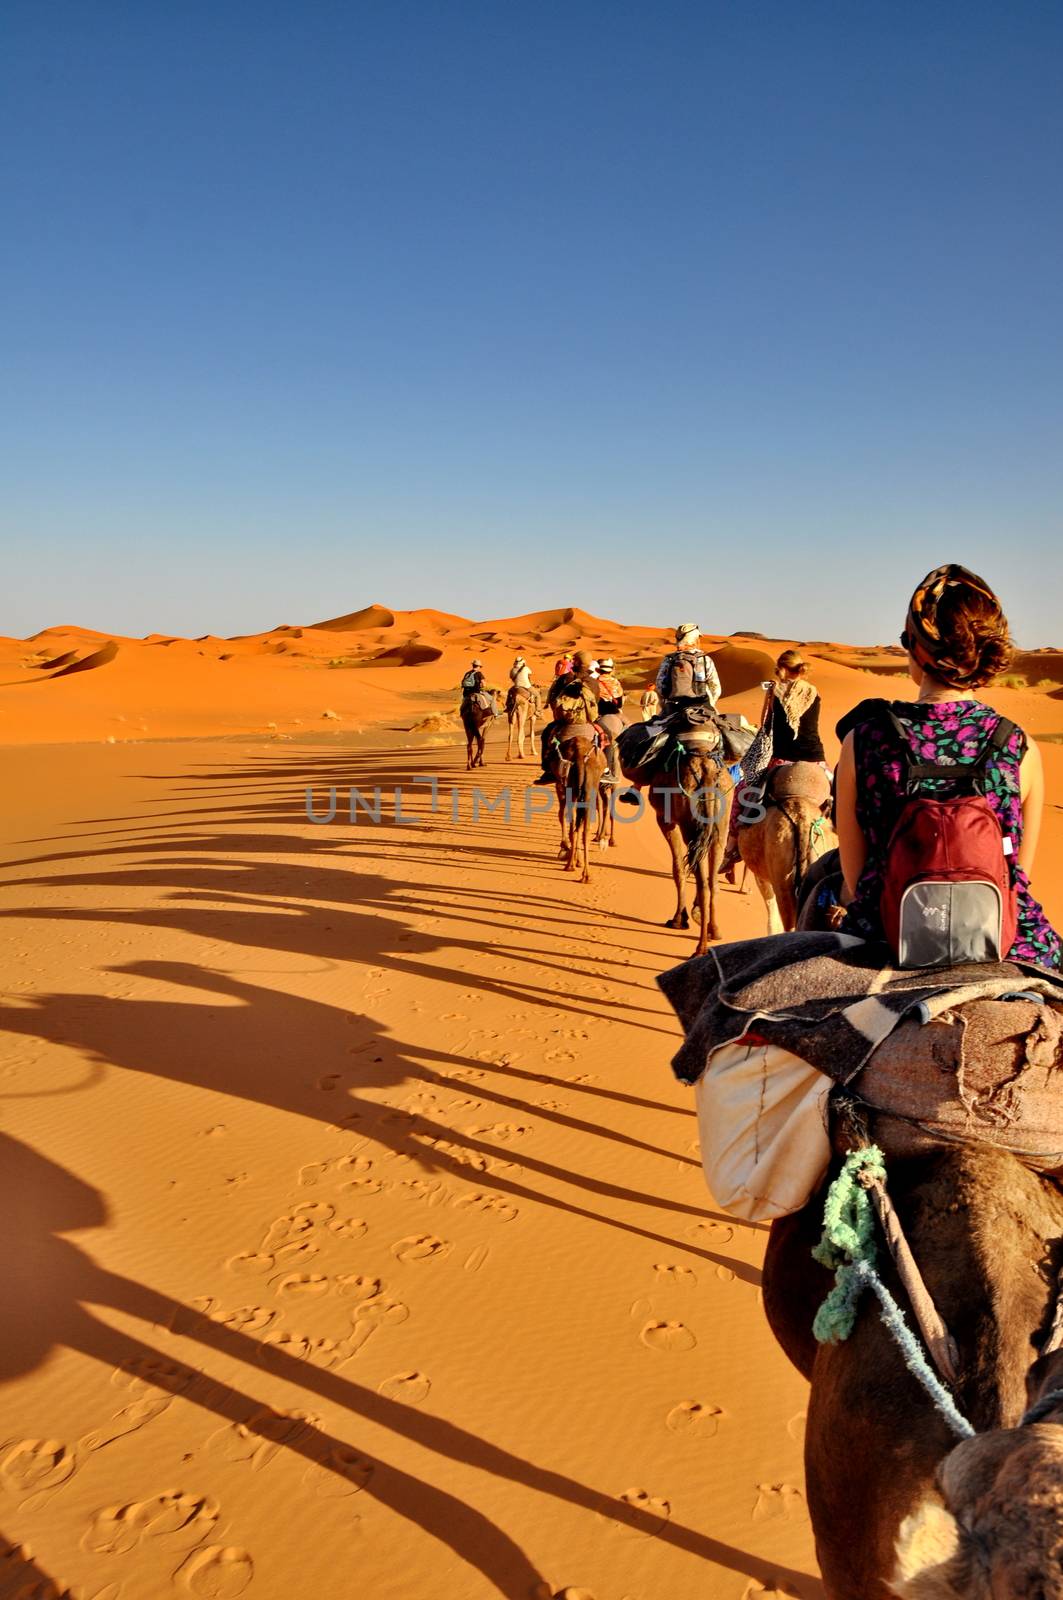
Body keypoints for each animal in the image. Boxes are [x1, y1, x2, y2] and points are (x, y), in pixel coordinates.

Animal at [646, 742, 730, 953]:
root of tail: (707, 771)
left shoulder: (665, 820)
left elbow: (678, 868)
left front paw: (678, 919)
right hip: (721, 825)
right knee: (713, 879)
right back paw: (715, 931)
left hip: (689, 823)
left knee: (702, 883)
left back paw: (700, 948)